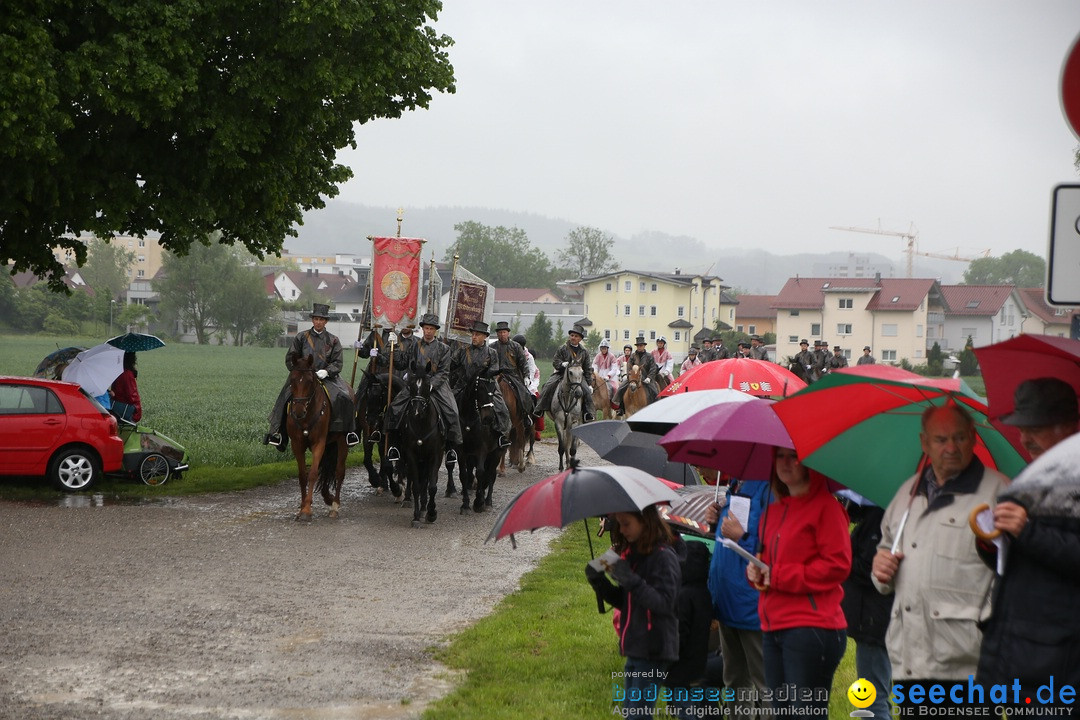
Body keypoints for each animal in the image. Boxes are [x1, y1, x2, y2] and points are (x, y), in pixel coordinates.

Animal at [287, 354, 349, 518]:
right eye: (292, 379)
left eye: (309, 381)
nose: (298, 411)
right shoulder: (297, 444)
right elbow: (303, 475)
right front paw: (303, 505)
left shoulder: (319, 443)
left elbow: (313, 473)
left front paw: (306, 510)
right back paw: (327, 497)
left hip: (342, 442)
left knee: (339, 471)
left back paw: (335, 505)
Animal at [399, 367, 440, 524]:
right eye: (411, 385)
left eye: (427, 385)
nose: (417, 412)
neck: (422, 425)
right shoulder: (411, 455)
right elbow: (416, 485)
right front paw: (416, 516)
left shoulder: (435, 455)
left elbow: (432, 487)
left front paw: (431, 513)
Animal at [455, 377, 505, 511]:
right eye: (481, 387)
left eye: (494, 388)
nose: (489, 418)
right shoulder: (461, 451)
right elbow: (464, 474)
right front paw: (465, 504)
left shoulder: (481, 450)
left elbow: (480, 472)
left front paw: (478, 502)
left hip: (496, 453)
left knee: (491, 474)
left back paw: (487, 501)